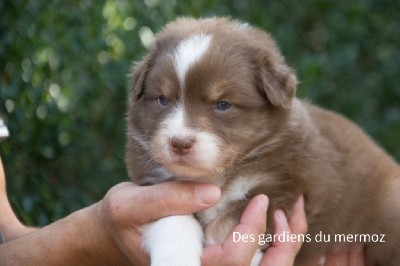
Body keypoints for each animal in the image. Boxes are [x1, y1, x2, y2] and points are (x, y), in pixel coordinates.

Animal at [126, 17, 400, 266]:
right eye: (162, 99)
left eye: (222, 104)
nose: (179, 142)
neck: (217, 176)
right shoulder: (154, 186)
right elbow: (172, 218)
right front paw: (176, 257)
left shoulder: (294, 186)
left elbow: (225, 224)